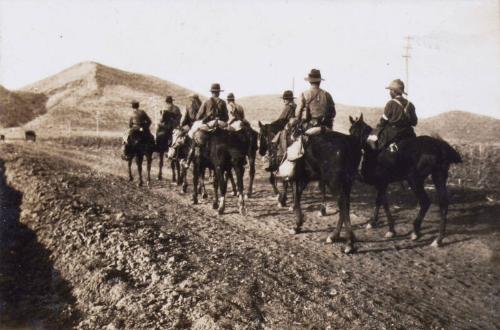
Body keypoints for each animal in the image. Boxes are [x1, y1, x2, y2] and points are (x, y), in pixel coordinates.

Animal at [286, 122, 364, 254]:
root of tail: (350, 142)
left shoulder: (296, 179)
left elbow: (296, 201)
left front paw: (296, 226)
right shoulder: (305, 179)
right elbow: (297, 199)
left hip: (334, 183)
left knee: (343, 206)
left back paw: (348, 243)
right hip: (347, 183)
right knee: (345, 206)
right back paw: (335, 236)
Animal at [350, 114, 462, 246]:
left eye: (356, 131)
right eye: (350, 131)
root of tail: (439, 146)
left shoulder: (382, 183)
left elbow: (382, 202)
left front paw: (390, 229)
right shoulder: (382, 184)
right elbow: (380, 201)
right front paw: (375, 223)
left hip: (414, 180)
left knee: (425, 202)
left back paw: (416, 231)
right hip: (439, 176)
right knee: (443, 203)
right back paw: (438, 239)